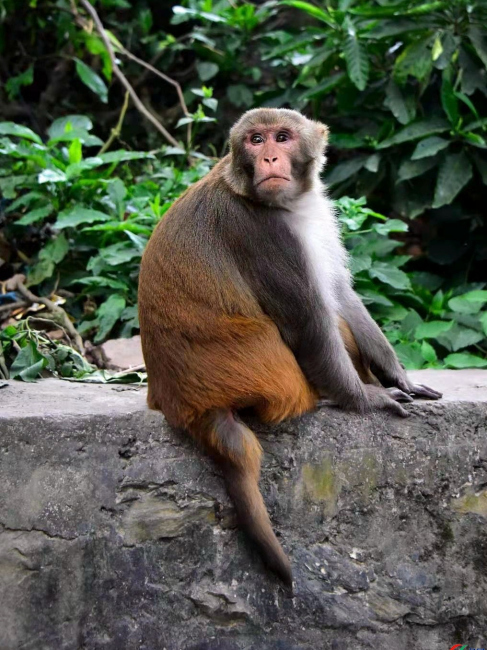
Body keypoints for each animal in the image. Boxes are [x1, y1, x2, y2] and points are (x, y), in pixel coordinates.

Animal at [138, 108, 441, 588]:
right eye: (256, 140)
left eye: (282, 137)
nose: (269, 158)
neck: (282, 205)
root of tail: (185, 405)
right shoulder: (263, 233)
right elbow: (309, 322)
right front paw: (364, 399)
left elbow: (339, 294)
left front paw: (398, 376)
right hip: (271, 377)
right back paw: (328, 398)